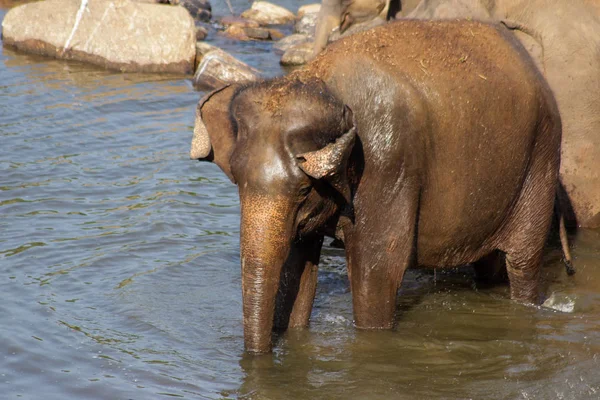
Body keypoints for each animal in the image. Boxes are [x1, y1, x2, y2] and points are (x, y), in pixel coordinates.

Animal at [191, 20, 564, 354]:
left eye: (303, 191)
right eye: (238, 183)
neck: (322, 83)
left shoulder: (387, 163)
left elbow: (376, 275)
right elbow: (298, 269)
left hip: (541, 157)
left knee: (523, 263)